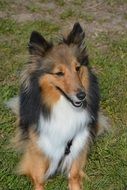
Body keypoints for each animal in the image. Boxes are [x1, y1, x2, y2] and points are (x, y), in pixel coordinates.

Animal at [6, 23, 108, 189]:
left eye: (77, 68)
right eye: (59, 73)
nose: (82, 95)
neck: (64, 107)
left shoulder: (79, 141)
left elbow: (74, 174)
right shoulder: (38, 147)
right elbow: (39, 177)